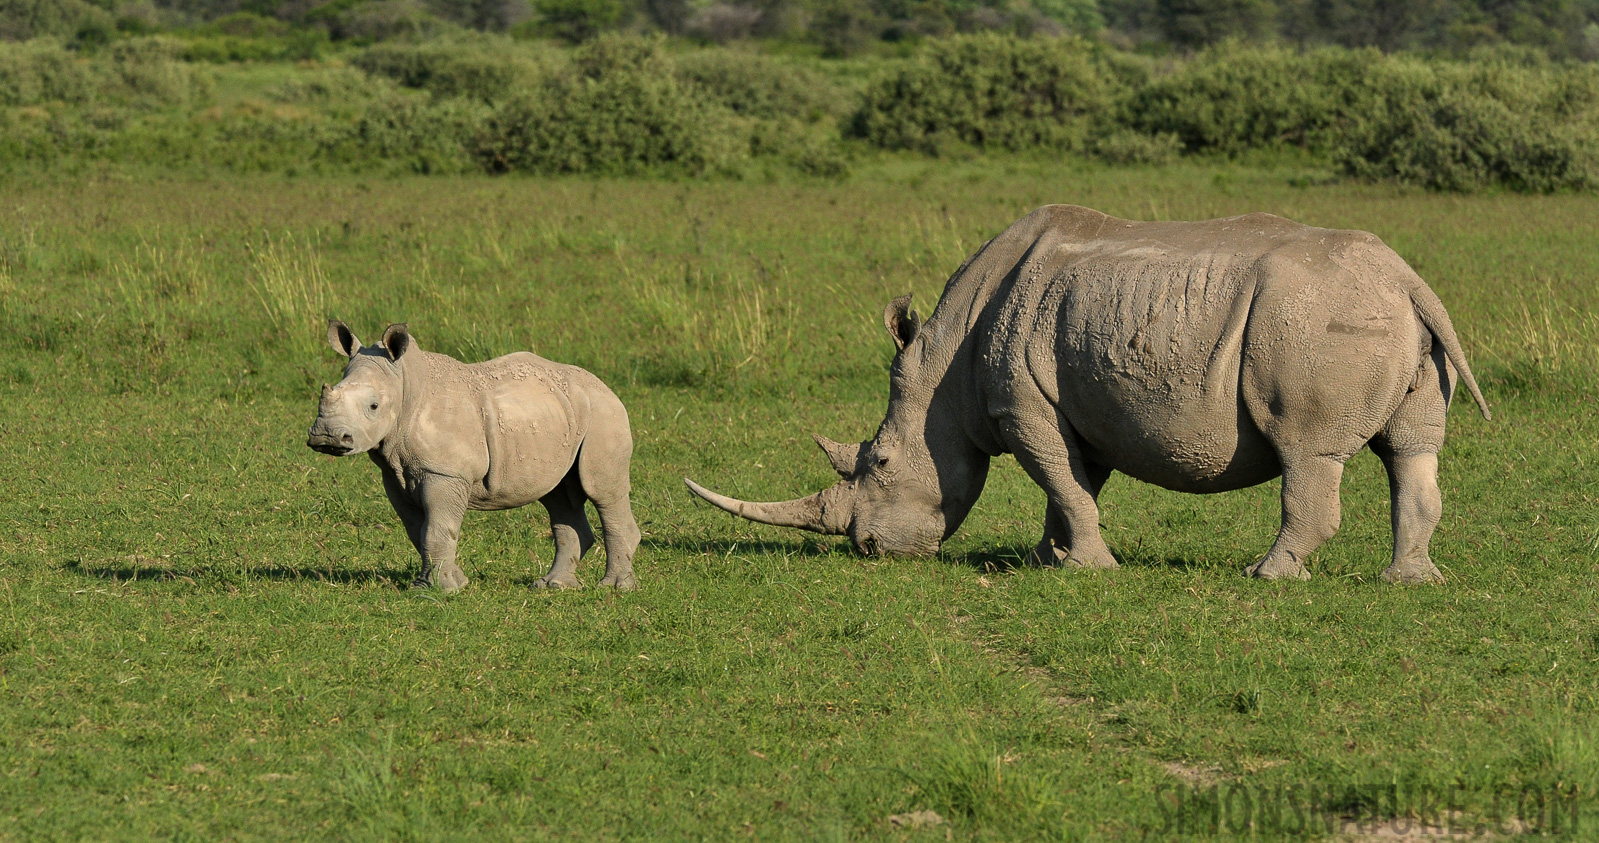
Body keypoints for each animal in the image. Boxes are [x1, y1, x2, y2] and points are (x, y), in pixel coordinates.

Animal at [305, 323, 636, 595]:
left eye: (373, 406)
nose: (327, 438)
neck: (405, 385)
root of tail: (604, 386)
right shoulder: (394, 473)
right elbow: (417, 530)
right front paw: (443, 583)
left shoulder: (445, 472)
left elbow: (436, 529)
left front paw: (440, 591)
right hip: (560, 417)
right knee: (558, 497)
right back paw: (552, 586)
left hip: (604, 413)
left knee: (603, 492)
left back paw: (614, 588)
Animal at [684, 207, 1483, 585]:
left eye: (878, 463)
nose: (870, 549)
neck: (941, 373)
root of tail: (1407, 280)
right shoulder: (1072, 404)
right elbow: (1070, 484)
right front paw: (1047, 560)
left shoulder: (1019, 404)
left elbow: (1060, 481)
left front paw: (1087, 568)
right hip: (1383, 319)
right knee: (1411, 451)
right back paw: (1410, 581)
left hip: (1315, 323)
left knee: (1306, 452)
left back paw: (1267, 576)